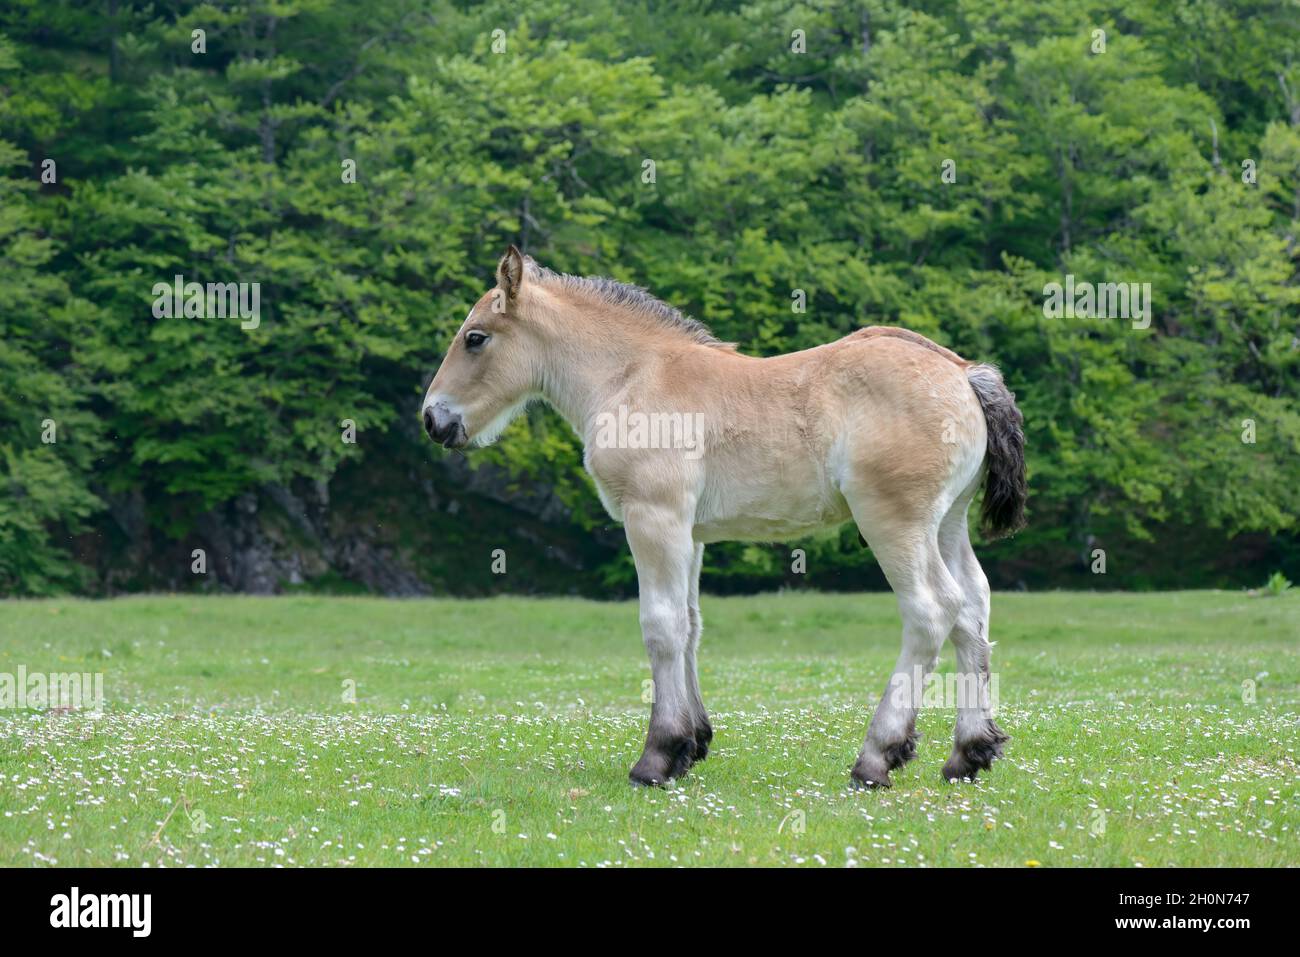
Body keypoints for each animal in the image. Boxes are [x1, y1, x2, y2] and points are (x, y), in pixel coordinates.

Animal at [423, 244, 1024, 785]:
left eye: (475, 338)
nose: (433, 419)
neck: (632, 376)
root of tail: (963, 373)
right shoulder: (690, 533)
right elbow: (691, 624)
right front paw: (692, 744)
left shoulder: (654, 519)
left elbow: (661, 626)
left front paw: (658, 757)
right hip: (946, 524)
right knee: (973, 606)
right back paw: (969, 753)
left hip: (893, 522)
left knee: (931, 610)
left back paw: (876, 757)